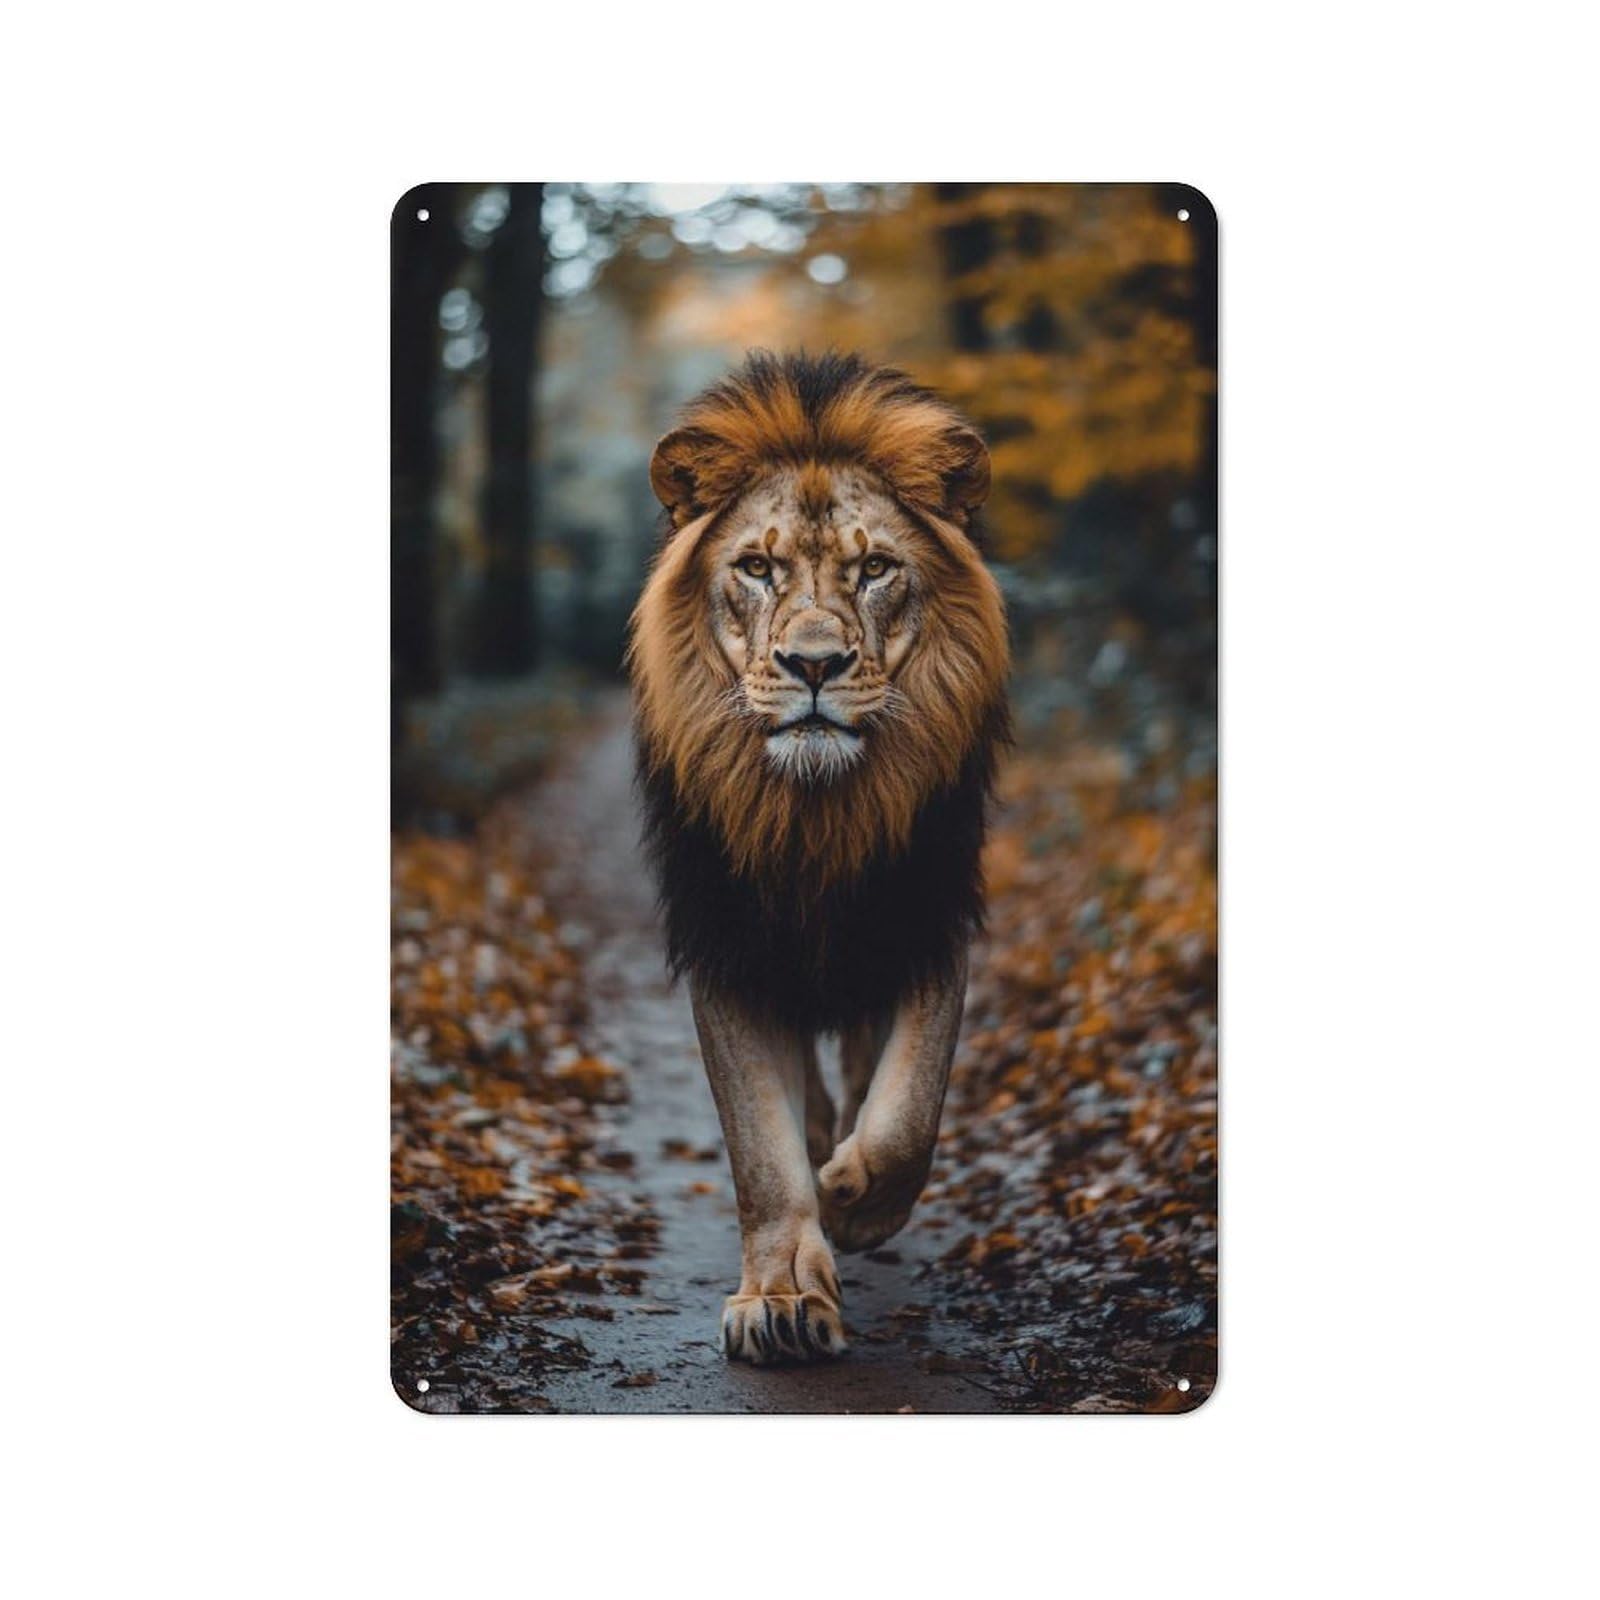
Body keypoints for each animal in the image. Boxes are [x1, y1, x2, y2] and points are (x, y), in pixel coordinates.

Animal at [628, 351, 1009, 1364]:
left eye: (874, 568)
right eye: (757, 569)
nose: (812, 665)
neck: (815, 816)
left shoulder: (925, 915)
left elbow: (910, 1109)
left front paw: (856, 1199)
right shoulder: (728, 942)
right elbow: (760, 1149)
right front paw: (783, 1295)